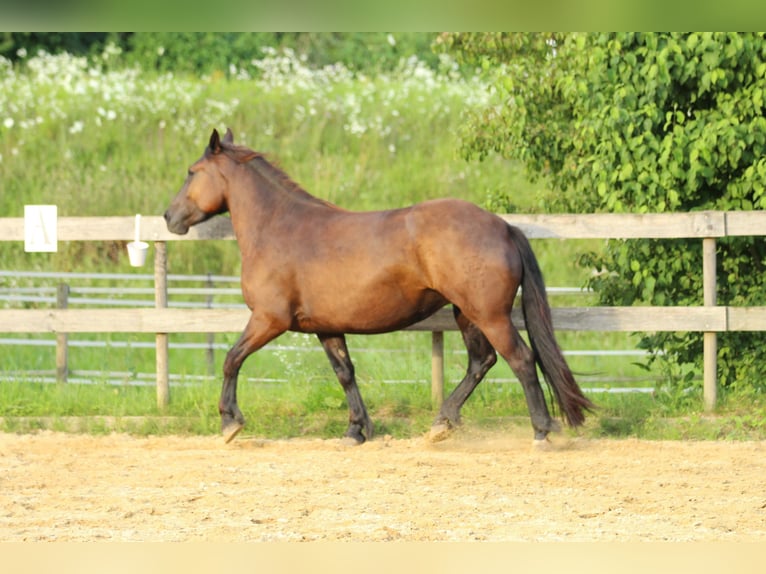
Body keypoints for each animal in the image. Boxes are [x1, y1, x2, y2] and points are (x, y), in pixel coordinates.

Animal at [164, 129, 592, 446]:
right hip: (466, 313)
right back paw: (442, 423)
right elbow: (345, 373)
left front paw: (230, 423)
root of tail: (503, 226)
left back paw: (541, 431)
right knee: (481, 362)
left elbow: (231, 359)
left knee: (520, 360)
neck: (278, 228)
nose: (169, 217)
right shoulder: (326, 327)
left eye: (191, 171)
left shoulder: (269, 319)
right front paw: (356, 430)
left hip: (490, 314)